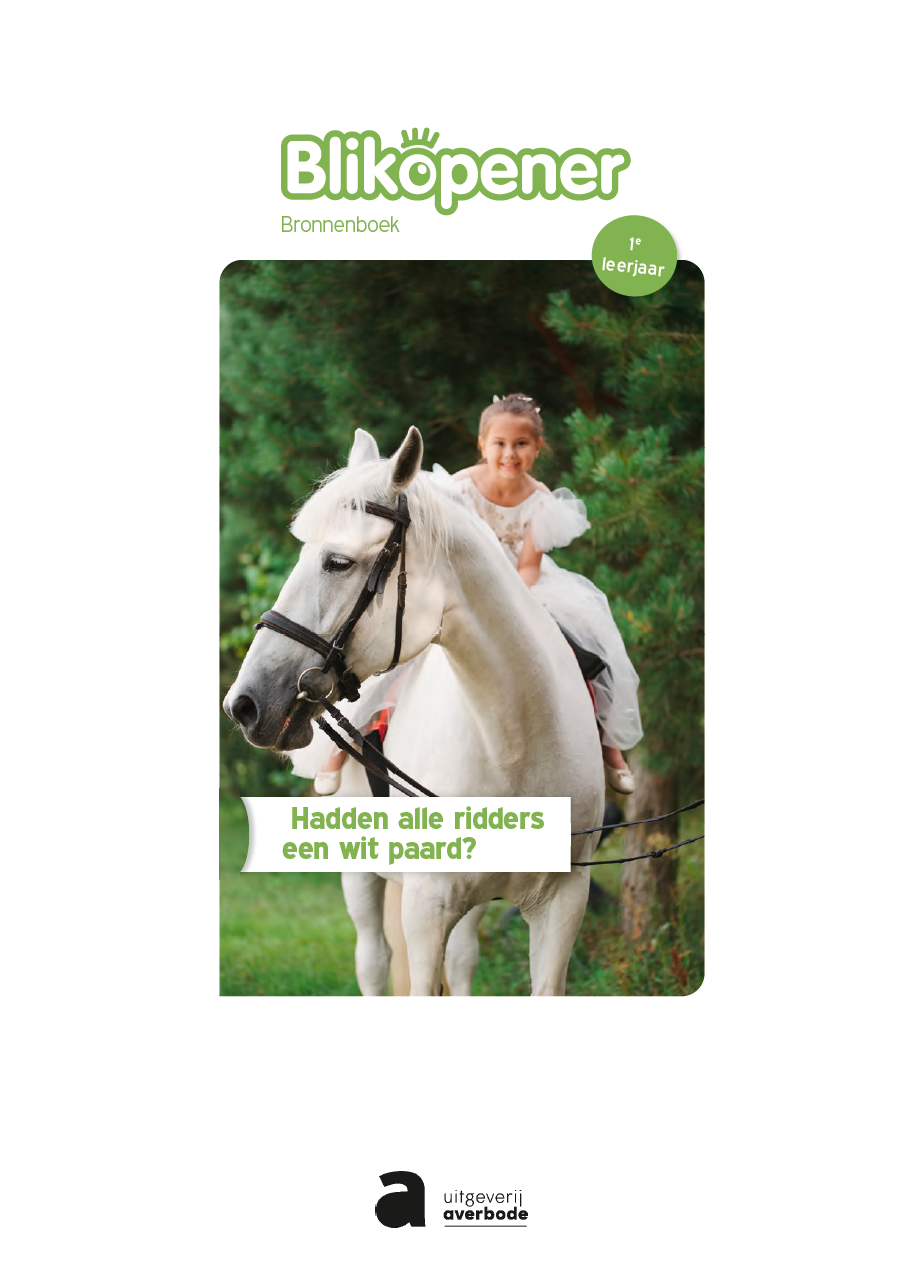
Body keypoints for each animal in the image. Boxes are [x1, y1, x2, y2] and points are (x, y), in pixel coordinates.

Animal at [223, 426, 606, 995]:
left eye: (337, 562)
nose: (244, 705)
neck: (517, 742)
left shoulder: (563, 905)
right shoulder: (425, 910)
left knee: (463, 961)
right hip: (362, 874)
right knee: (373, 961)